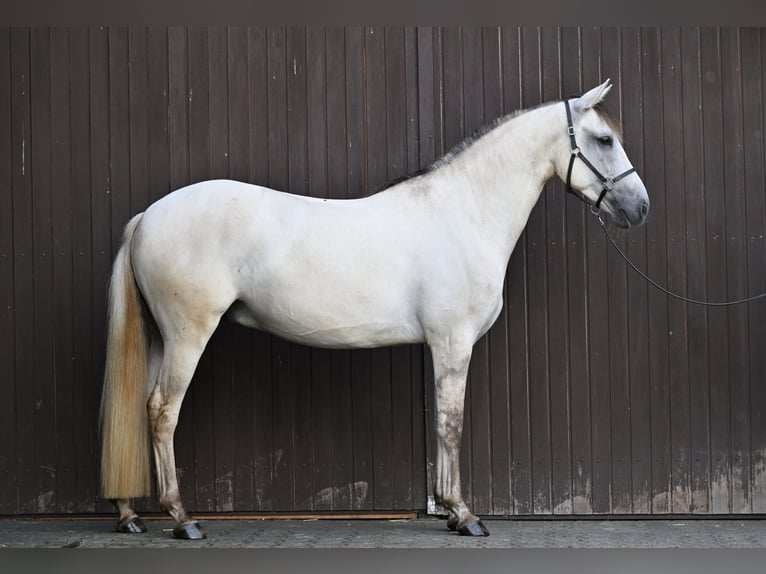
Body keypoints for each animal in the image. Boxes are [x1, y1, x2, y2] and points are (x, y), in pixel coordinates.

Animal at [97, 80, 648, 540]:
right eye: (603, 139)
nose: (640, 208)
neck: (464, 212)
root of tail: (149, 215)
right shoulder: (453, 341)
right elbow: (452, 422)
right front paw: (465, 515)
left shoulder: (442, 345)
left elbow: (442, 420)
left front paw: (449, 512)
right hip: (187, 336)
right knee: (162, 412)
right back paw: (181, 518)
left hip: (159, 338)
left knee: (138, 407)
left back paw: (128, 515)